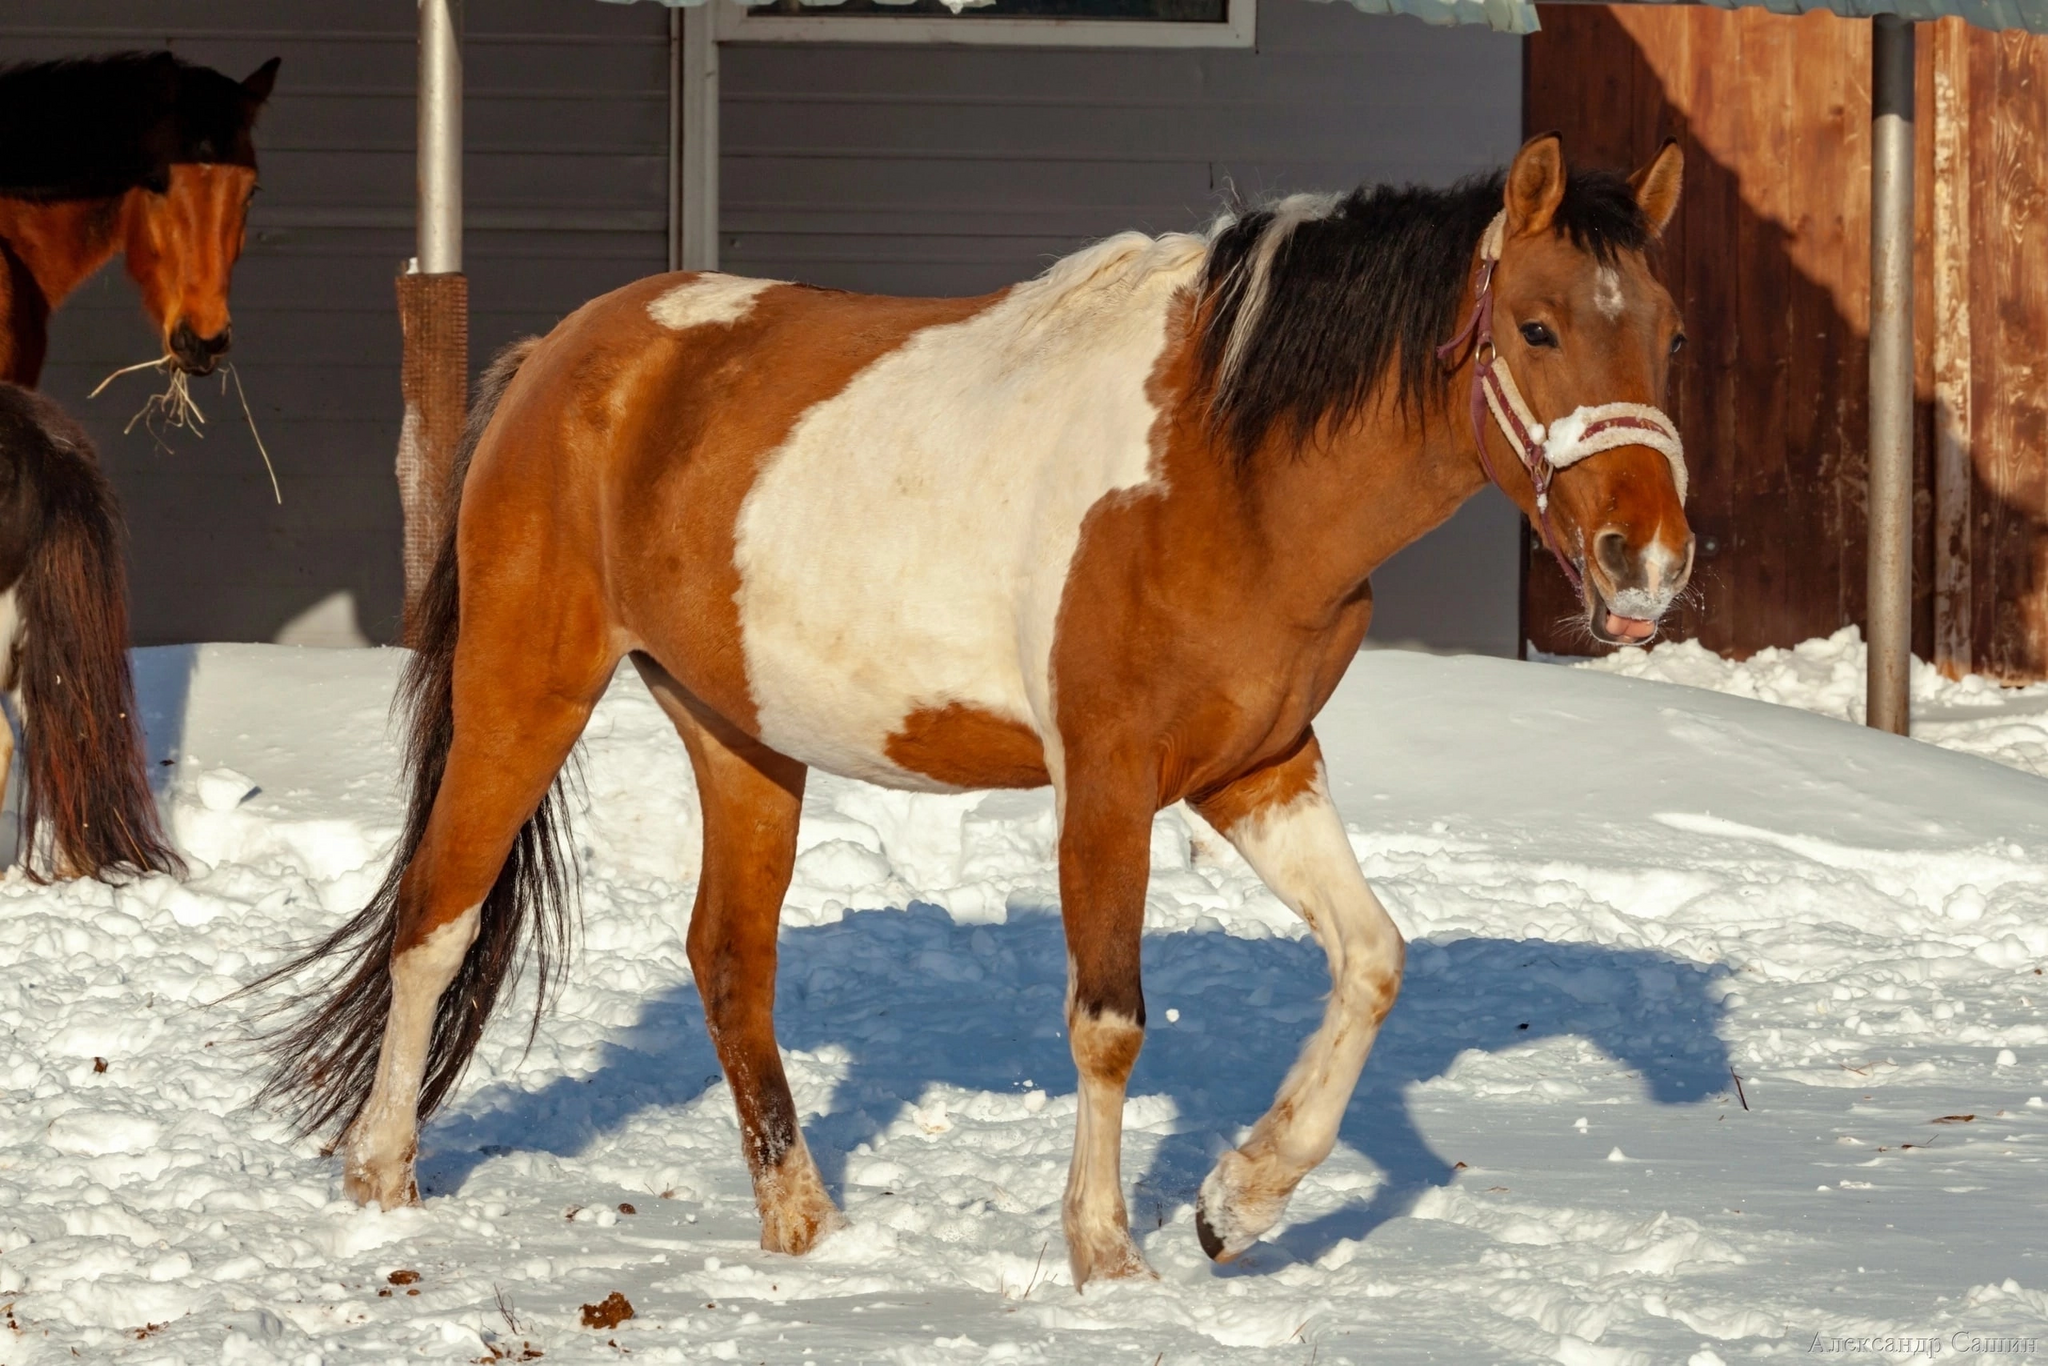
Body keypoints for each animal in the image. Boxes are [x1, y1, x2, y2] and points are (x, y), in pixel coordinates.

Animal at [264, 133, 1687, 1286]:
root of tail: (557, 357)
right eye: (1538, 328)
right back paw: (381, 1183)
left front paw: (1238, 1201)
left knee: (729, 960)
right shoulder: (1106, 775)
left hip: (739, 734)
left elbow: (1373, 958)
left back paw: (804, 1229)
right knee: (436, 919)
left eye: (1667, 333)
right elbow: (1108, 1022)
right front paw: (1106, 1256)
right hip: (527, 681)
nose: (1648, 565)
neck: (1223, 464)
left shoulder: (1260, 764)